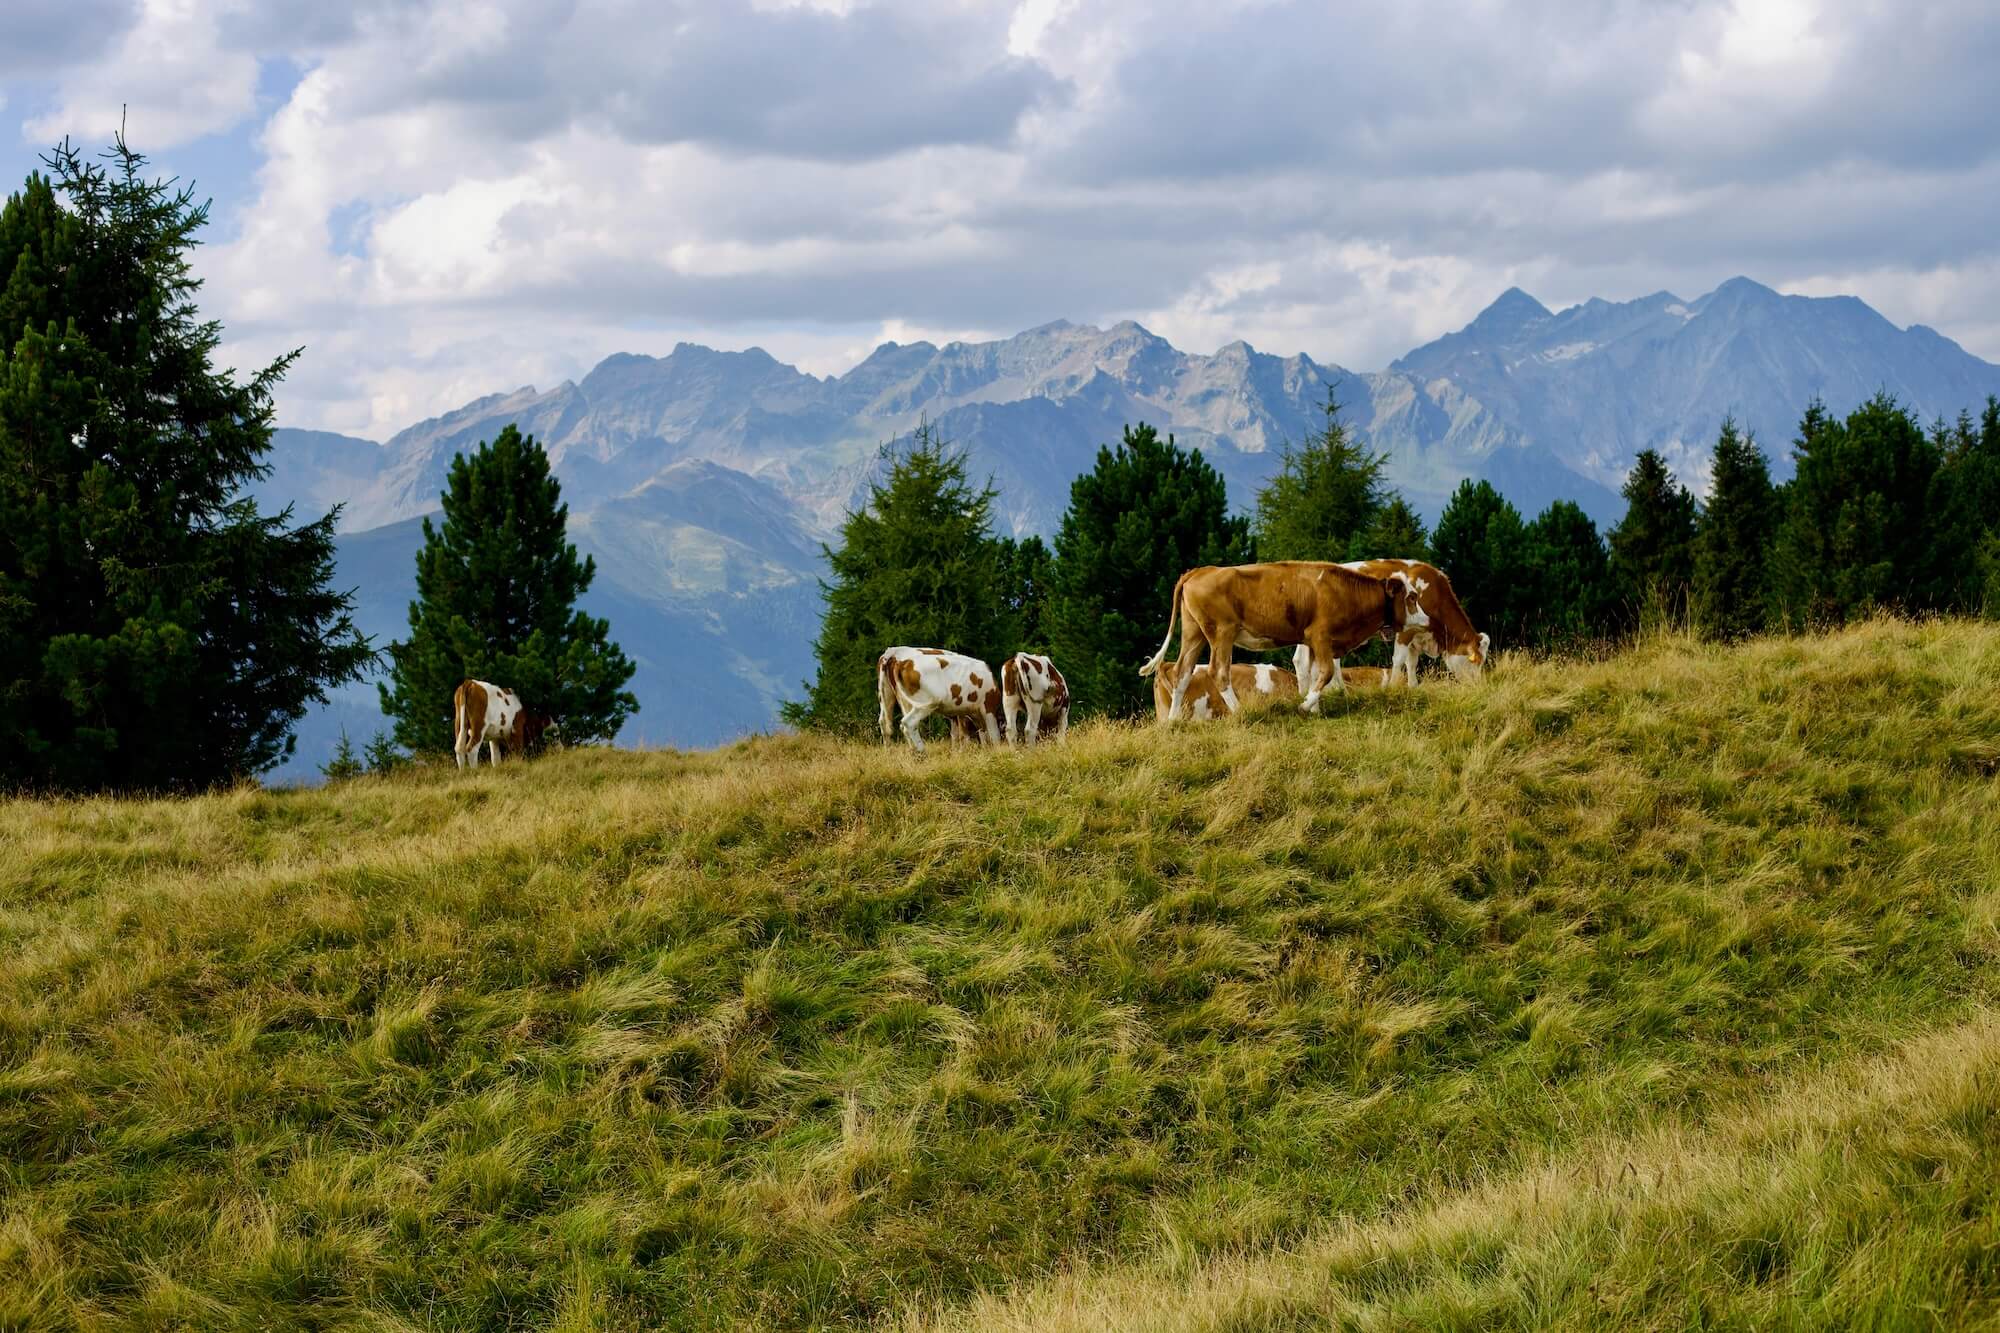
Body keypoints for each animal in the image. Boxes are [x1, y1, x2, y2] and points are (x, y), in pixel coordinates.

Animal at [878, 647, 1007, 753]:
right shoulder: (988, 708)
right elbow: (993, 736)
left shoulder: (958, 712)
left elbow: (958, 735)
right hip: (925, 704)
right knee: (908, 723)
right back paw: (921, 752)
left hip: (890, 698)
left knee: (885, 724)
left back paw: (893, 752)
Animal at [1292, 560, 1489, 688]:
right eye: (1475, 661)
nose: (1478, 686)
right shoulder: (1406, 630)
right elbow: (1399, 659)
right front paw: (1394, 687)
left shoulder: (1417, 635)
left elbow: (1412, 662)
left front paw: (1413, 687)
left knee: (1301, 661)